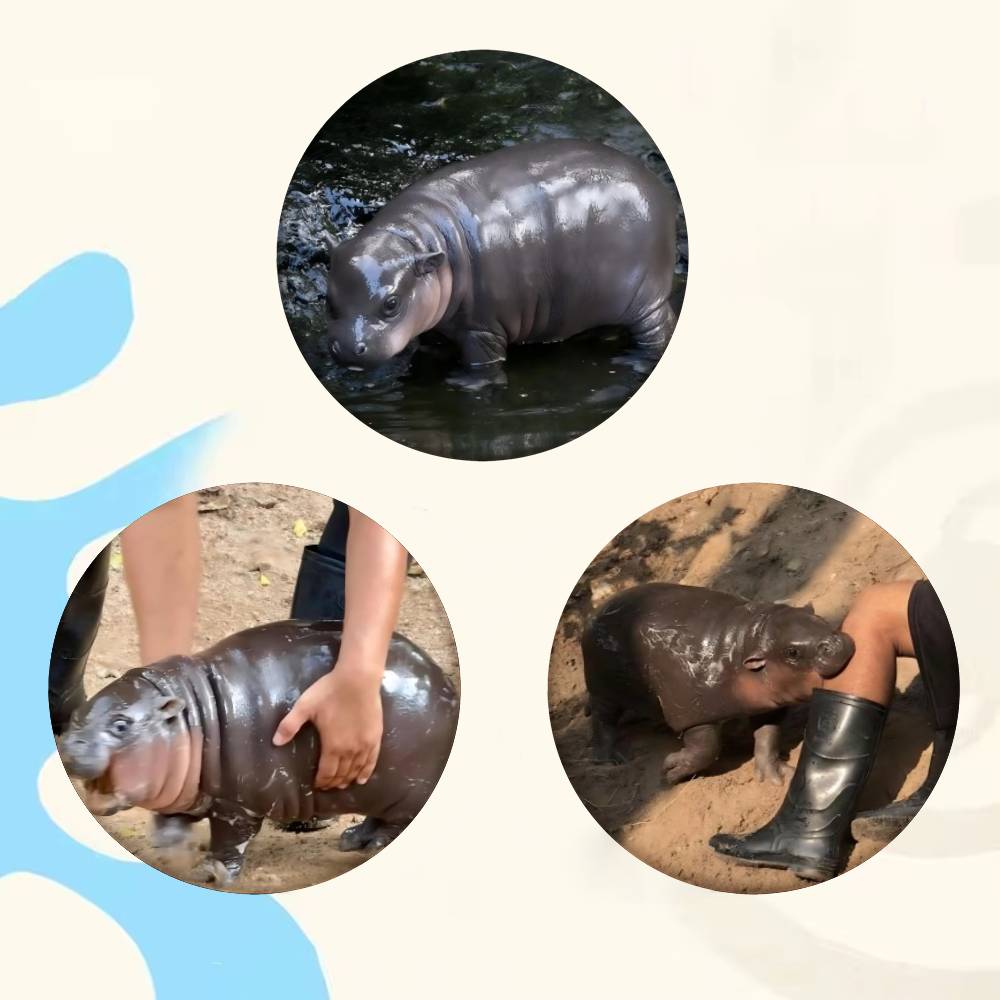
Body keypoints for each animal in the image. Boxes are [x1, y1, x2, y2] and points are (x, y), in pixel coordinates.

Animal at [59, 620, 459, 886]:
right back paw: (352, 840)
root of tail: (447, 685)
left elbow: (229, 841)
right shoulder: (186, 794)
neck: (193, 715)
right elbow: (171, 819)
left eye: (121, 725)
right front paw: (171, 848)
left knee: (395, 823)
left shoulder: (237, 806)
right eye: (78, 714)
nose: (70, 744)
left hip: (406, 790)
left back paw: (369, 845)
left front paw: (213, 872)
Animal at [324, 139, 678, 369]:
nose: (346, 348)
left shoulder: (482, 329)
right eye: (328, 299)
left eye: (392, 303)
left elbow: (481, 365)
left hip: (645, 301)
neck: (416, 240)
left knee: (658, 328)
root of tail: (655, 185)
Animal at [582, 584, 855, 784]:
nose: (837, 643)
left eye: (819, 618)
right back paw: (610, 760)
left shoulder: (767, 704)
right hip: (604, 688)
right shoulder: (692, 712)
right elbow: (707, 748)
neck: (746, 643)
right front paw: (670, 770)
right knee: (602, 719)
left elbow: (768, 735)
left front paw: (777, 776)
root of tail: (595, 614)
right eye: (792, 652)